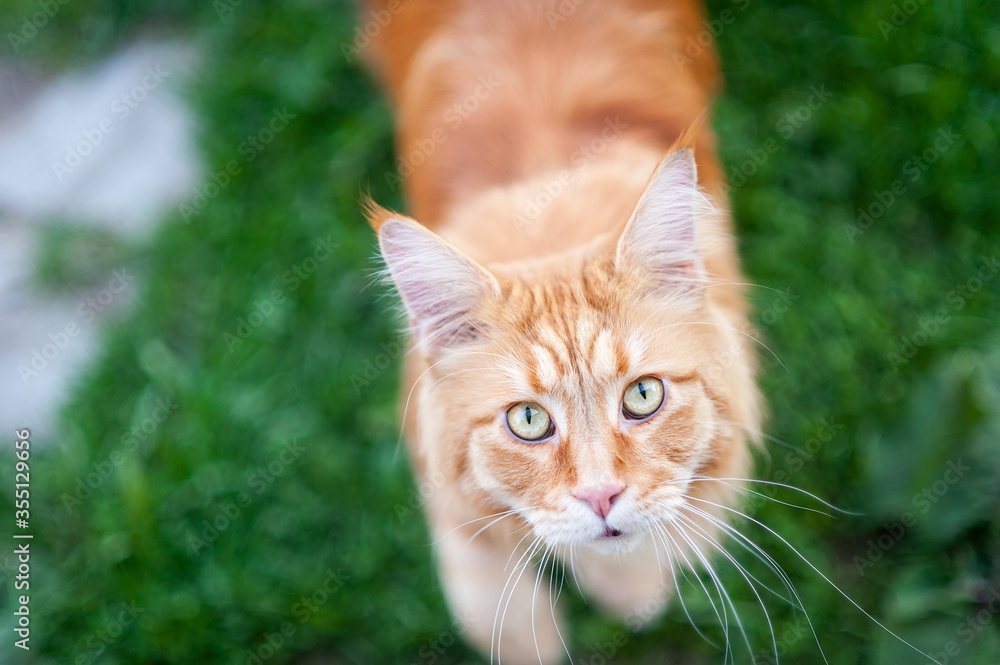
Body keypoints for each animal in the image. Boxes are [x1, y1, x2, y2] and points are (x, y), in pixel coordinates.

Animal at [364, 2, 760, 660]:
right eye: (528, 420)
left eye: (643, 396)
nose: (601, 497)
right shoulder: (436, 466)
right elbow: (486, 587)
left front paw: (629, 589)